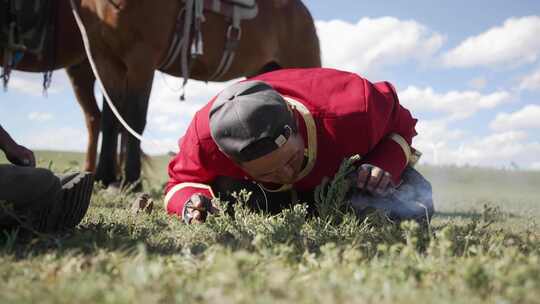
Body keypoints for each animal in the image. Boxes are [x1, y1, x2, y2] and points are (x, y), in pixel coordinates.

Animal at [75, 0, 320, 188]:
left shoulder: (141, 57)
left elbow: (134, 119)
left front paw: (132, 181)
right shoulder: (104, 58)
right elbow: (111, 119)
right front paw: (104, 178)